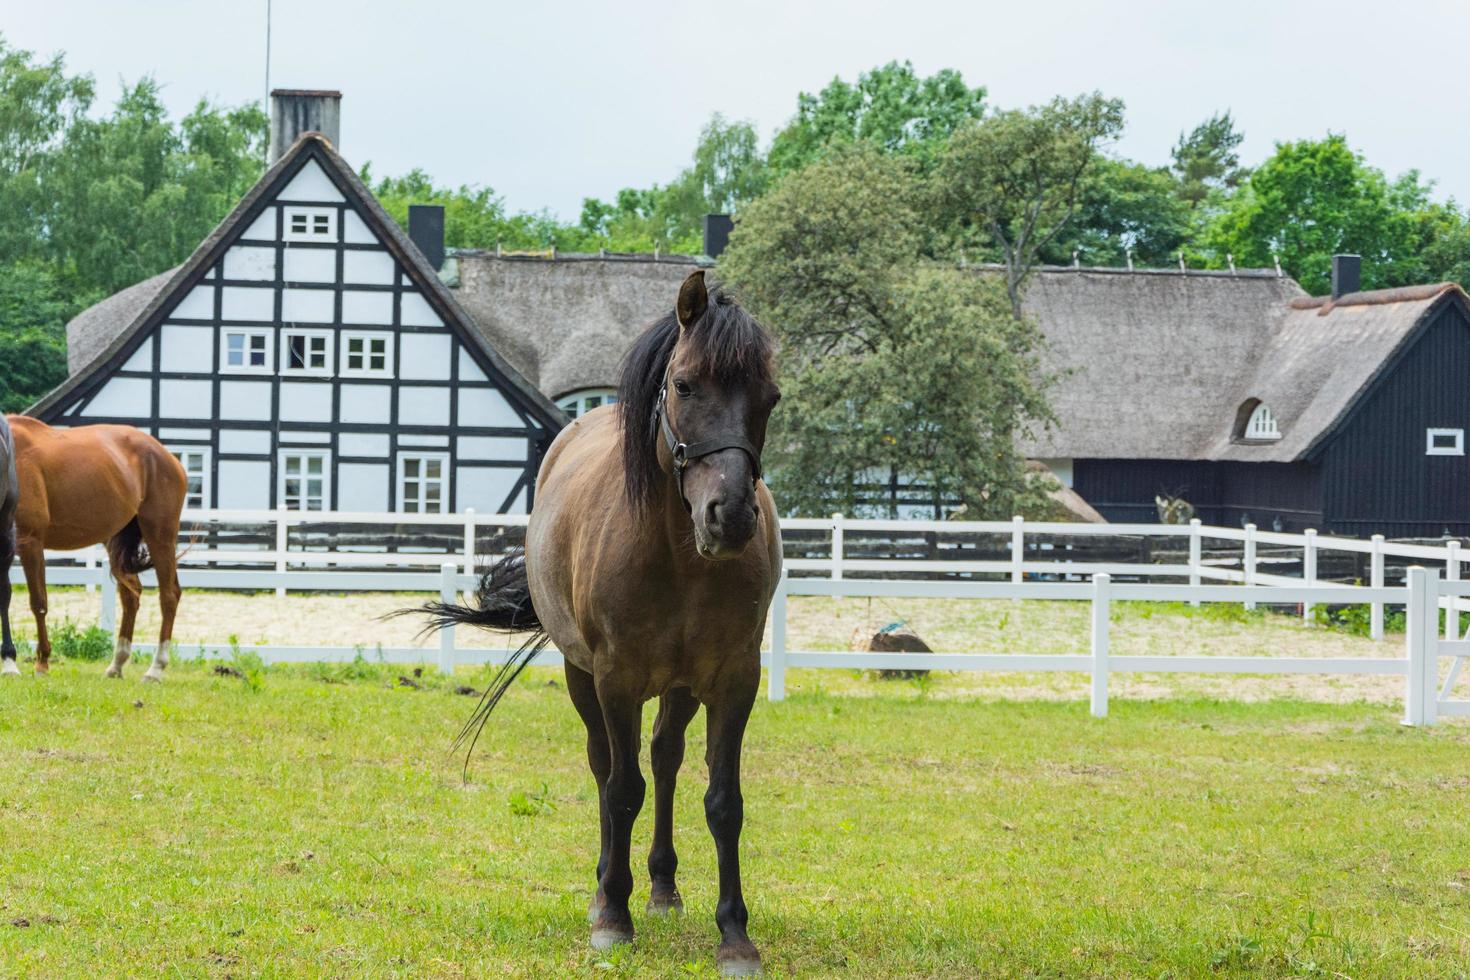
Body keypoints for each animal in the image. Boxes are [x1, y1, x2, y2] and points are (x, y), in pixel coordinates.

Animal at [9, 417, 188, 681]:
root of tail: (168, 457)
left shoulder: (29, 541)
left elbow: (38, 602)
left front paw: (41, 662)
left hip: (161, 536)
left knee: (169, 595)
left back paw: (155, 669)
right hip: (116, 541)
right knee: (131, 596)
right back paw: (117, 664)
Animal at [429, 270, 782, 975]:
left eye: (771, 396)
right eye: (684, 384)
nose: (729, 517)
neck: (677, 554)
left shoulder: (735, 680)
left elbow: (723, 802)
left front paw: (734, 934)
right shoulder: (615, 679)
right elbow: (621, 789)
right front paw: (612, 918)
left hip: (680, 687)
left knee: (667, 759)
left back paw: (663, 885)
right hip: (581, 674)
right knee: (604, 767)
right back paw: (603, 887)